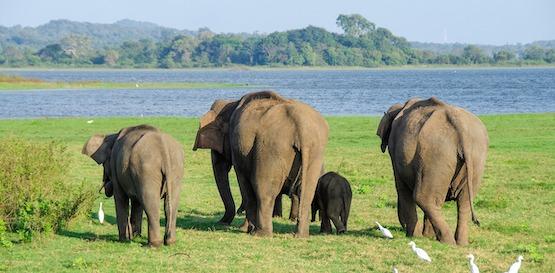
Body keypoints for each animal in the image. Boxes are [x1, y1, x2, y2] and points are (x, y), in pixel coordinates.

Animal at [193, 91, 328, 236]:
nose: (221, 222)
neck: (231, 103)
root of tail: (301, 127)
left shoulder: (239, 149)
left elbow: (243, 182)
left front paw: (244, 229)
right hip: (315, 151)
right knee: (306, 192)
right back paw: (300, 236)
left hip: (270, 149)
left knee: (263, 189)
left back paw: (260, 234)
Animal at [378, 97, 490, 244]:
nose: (402, 227)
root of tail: (459, 126)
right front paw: (427, 236)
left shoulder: (394, 151)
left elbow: (401, 188)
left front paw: (415, 236)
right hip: (475, 156)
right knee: (463, 201)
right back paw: (460, 243)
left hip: (435, 153)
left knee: (423, 197)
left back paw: (447, 242)